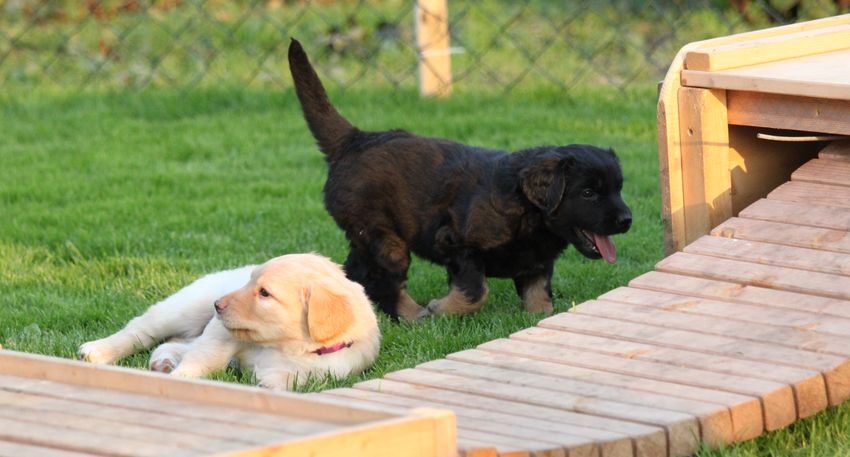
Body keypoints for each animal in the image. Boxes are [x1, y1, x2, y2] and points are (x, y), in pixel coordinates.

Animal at [78, 253, 380, 390]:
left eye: (264, 293)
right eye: (250, 281)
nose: (218, 305)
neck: (282, 345)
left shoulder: (330, 369)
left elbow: (292, 378)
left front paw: (269, 384)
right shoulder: (221, 332)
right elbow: (205, 357)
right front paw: (183, 378)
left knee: (180, 341)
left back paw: (164, 361)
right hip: (185, 306)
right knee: (140, 331)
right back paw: (96, 350)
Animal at [288, 39, 632, 321]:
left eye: (618, 189)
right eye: (588, 193)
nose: (627, 220)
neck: (529, 211)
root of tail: (356, 140)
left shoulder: (538, 261)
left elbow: (540, 295)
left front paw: (539, 315)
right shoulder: (457, 244)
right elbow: (476, 291)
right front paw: (442, 309)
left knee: (357, 271)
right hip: (383, 236)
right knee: (383, 278)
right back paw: (413, 315)